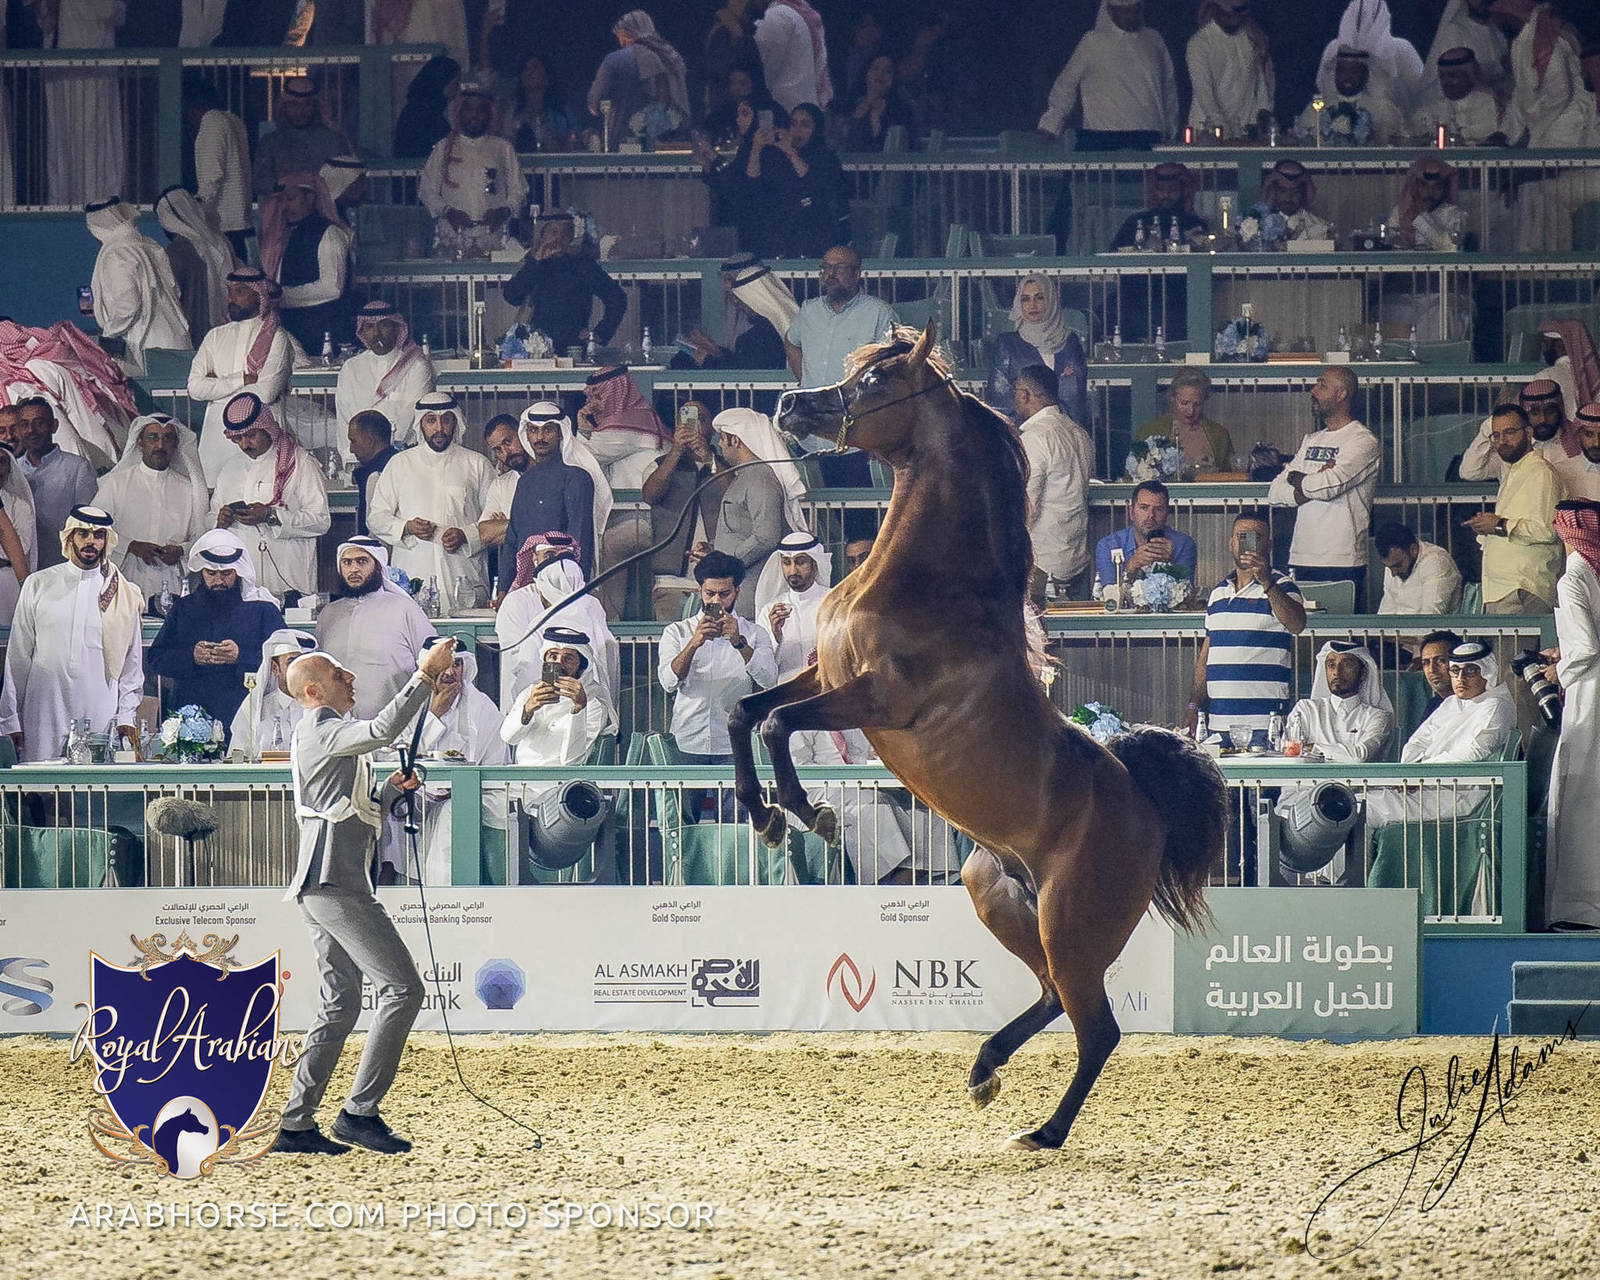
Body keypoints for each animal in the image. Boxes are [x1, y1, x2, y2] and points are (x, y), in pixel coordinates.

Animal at [727, 323, 1226, 1150]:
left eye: (876, 381)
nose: (792, 403)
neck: (928, 587)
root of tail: (1147, 807)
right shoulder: (824, 673)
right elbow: (747, 711)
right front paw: (764, 818)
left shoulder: (874, 700)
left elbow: (774, 722)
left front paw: (806, 812)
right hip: (997, 894)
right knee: (1053, 997)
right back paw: (985, 1070)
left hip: (1070, 922)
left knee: (1098, 1029)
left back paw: (1043, 1132)